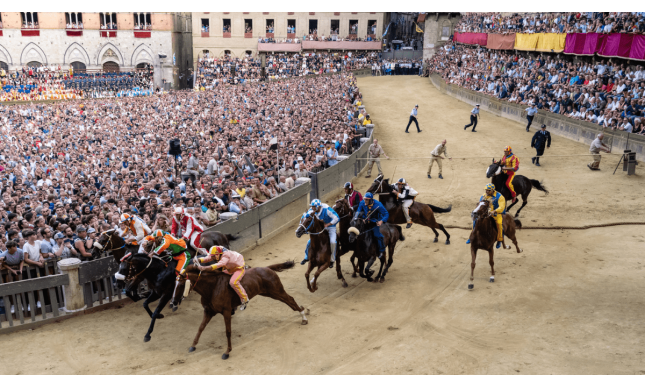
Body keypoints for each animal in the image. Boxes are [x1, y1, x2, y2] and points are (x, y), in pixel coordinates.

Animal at [171, 264, 306, 360]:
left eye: (181, 284)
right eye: (174, 284)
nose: (173, 303)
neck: (212, 288)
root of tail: (267, 268)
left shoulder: (226, 311)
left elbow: (228, 332)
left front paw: (227, 352)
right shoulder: (208, 311)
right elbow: (200, 328)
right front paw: (193, 345)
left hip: (276, 291)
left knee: (291, 300)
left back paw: (304, 317)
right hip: (269, 293)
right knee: (290, 301)